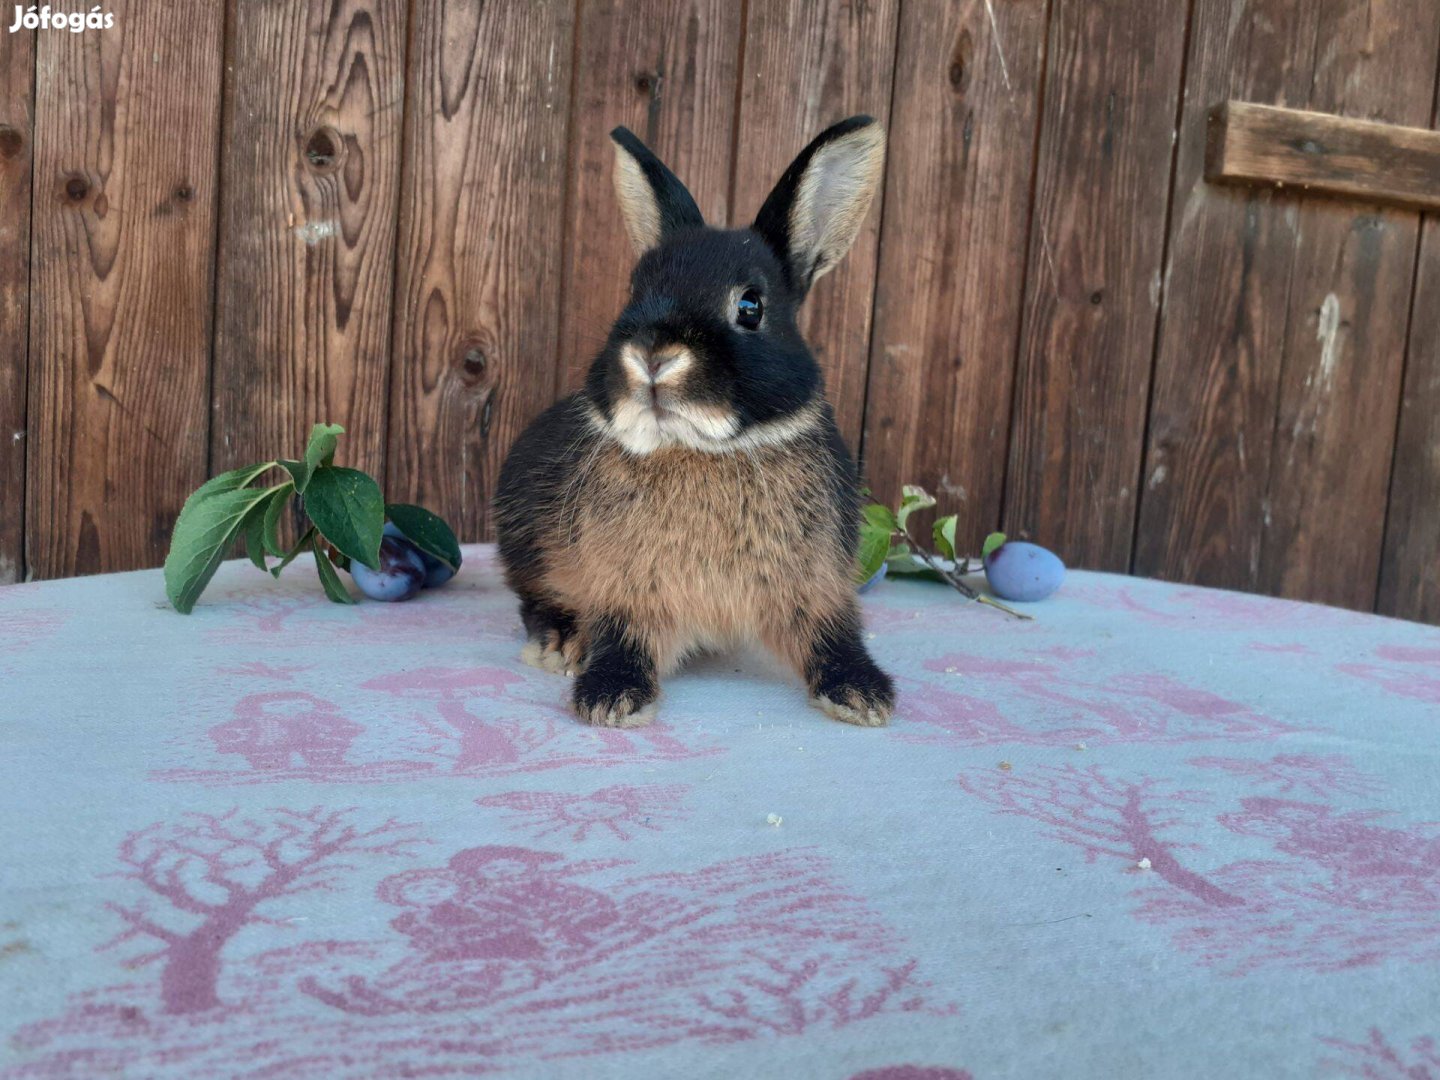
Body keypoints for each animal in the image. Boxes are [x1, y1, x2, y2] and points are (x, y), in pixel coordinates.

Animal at [501, 114, 892, 731]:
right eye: (632, 292)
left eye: (751, 306)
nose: (653, 355)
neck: (700, 450)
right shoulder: (624, 591)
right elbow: (620, 637)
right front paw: (611, 697)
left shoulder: (816, 585)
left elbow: (831, 634)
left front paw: (863, 695)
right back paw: (558, 642)